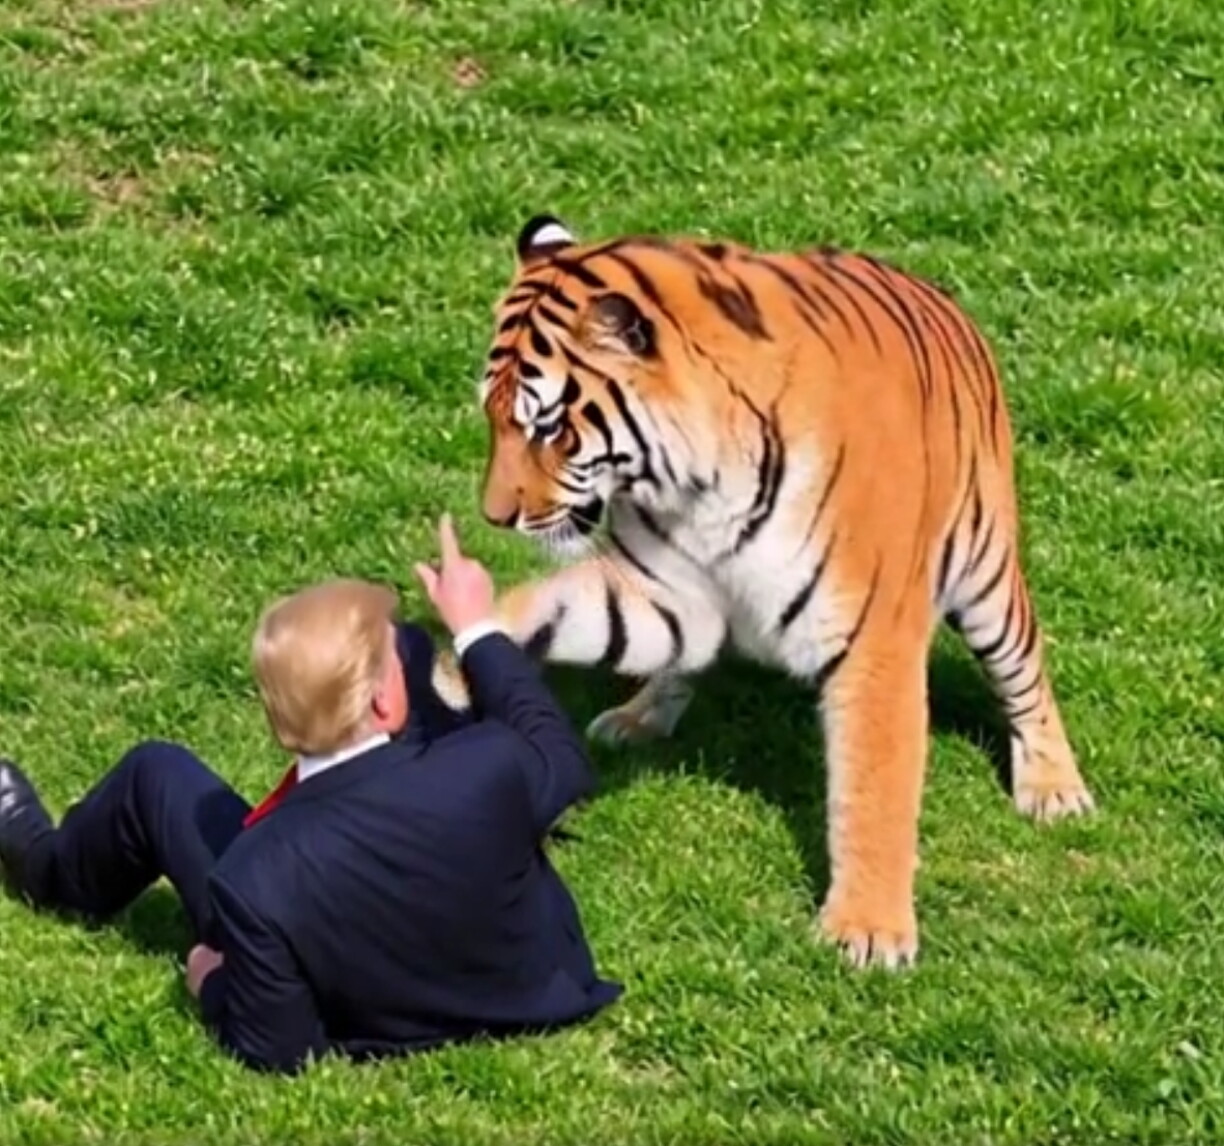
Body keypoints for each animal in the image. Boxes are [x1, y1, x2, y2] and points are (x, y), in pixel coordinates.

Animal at [430, 213, 1095, 970]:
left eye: (548, 427)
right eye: (493, 417)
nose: (494, 516)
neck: (693, 483)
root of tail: (935, 294)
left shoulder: (875, 639)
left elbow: (874, 785)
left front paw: (867, 931)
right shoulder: (667, 593)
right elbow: (565, 606)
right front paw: (455, 655)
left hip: (986, 571)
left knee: (1024, 667)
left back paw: (1054, 788)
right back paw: (637, 717)